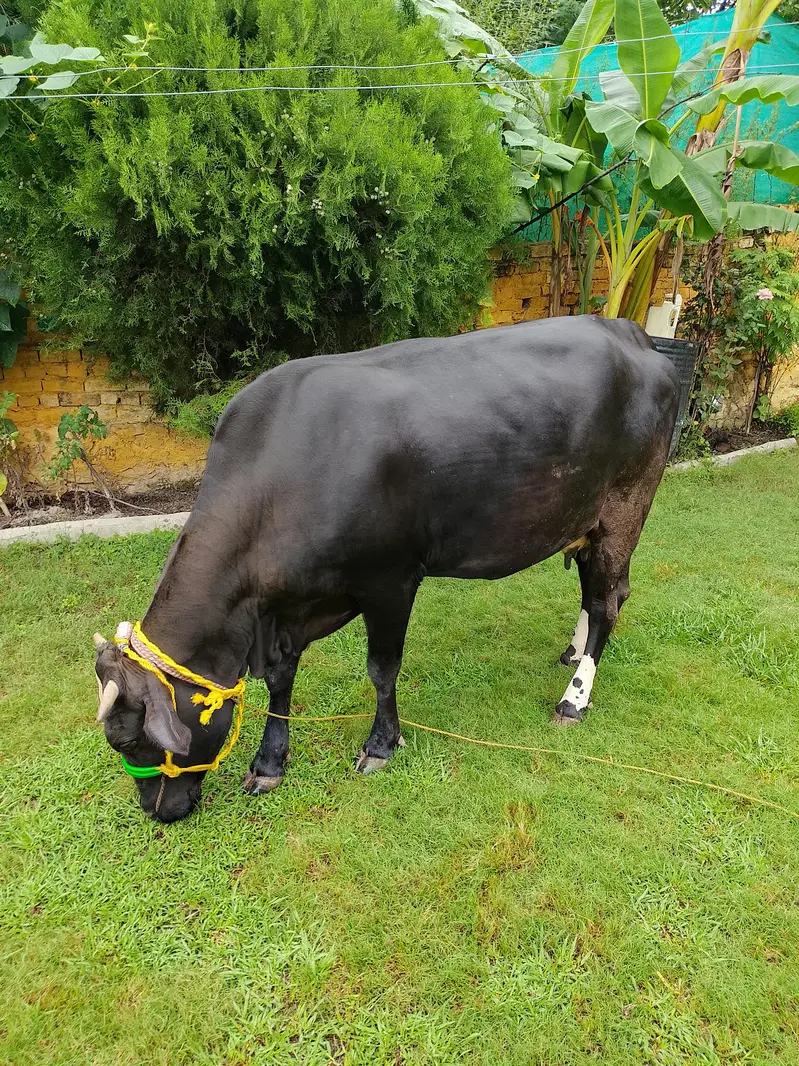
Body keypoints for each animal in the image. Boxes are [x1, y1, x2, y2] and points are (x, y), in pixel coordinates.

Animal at [93, 316, 679, 823]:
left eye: (128, 739)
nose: (155, 811)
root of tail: (628, 332)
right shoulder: (292, 607)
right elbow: (281, 680)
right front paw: (268, 763)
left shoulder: (390, 580)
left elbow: (382, 669)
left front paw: (380, 744)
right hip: (582, 520)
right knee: (594, 591)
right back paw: (573, 652)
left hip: (624, 510)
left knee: (607, 600)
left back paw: (574, 698)